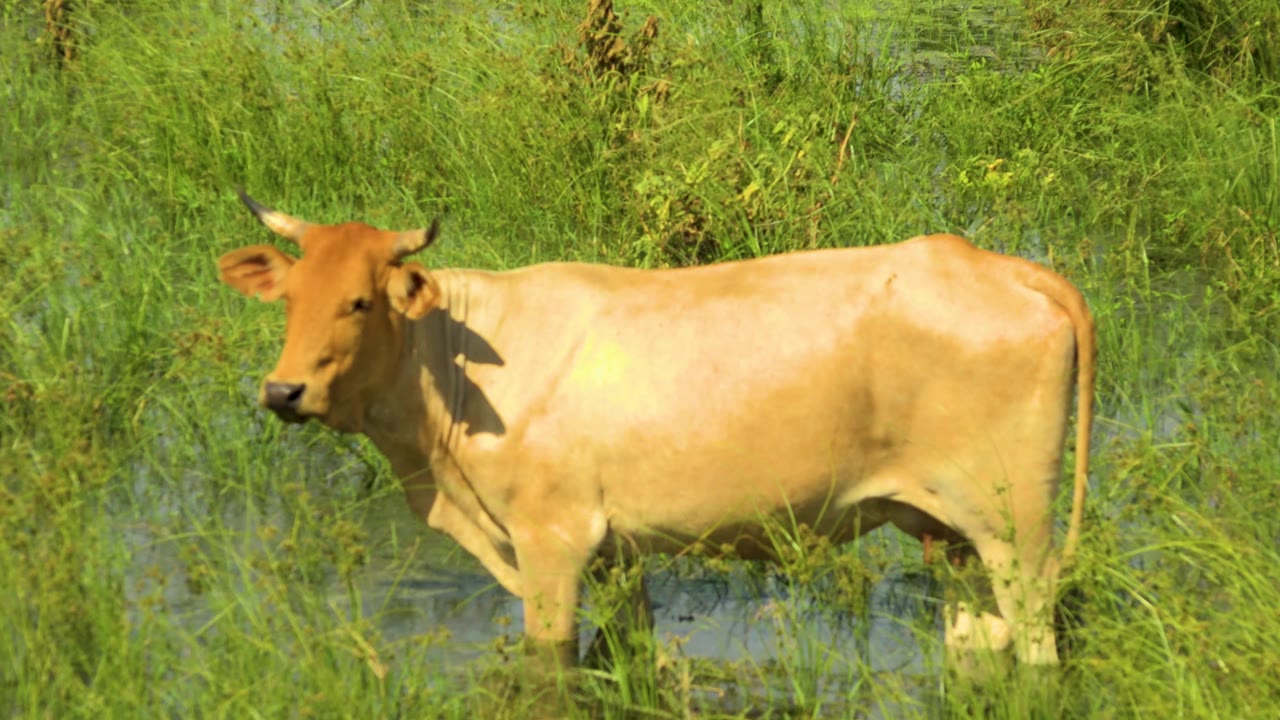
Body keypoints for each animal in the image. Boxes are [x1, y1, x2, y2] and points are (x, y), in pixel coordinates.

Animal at [217, 191, 1094, 674]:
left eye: (360, 302)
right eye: (288, 298)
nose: (282, 389)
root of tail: (991, 262)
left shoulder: (551, 543)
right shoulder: (617, 552)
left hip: (1016, 528)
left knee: (1038, 646)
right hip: (954, 537)